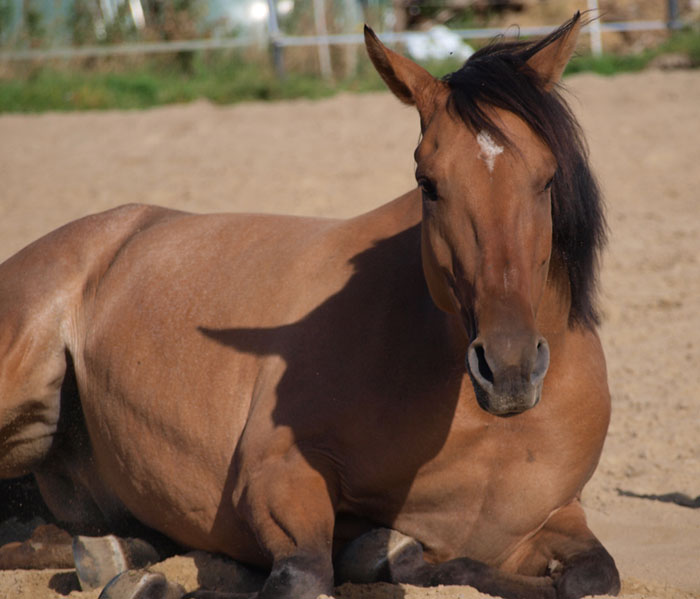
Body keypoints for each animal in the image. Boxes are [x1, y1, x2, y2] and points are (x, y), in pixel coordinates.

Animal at [1, 12, 624, 599]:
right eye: (427, 183)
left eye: (547, 179)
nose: (510, 368)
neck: (485, 431)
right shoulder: (276, 477)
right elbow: (303, 575)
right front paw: (150, 584)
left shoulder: (552, 520)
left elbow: (592, 576)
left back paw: (114, 549)